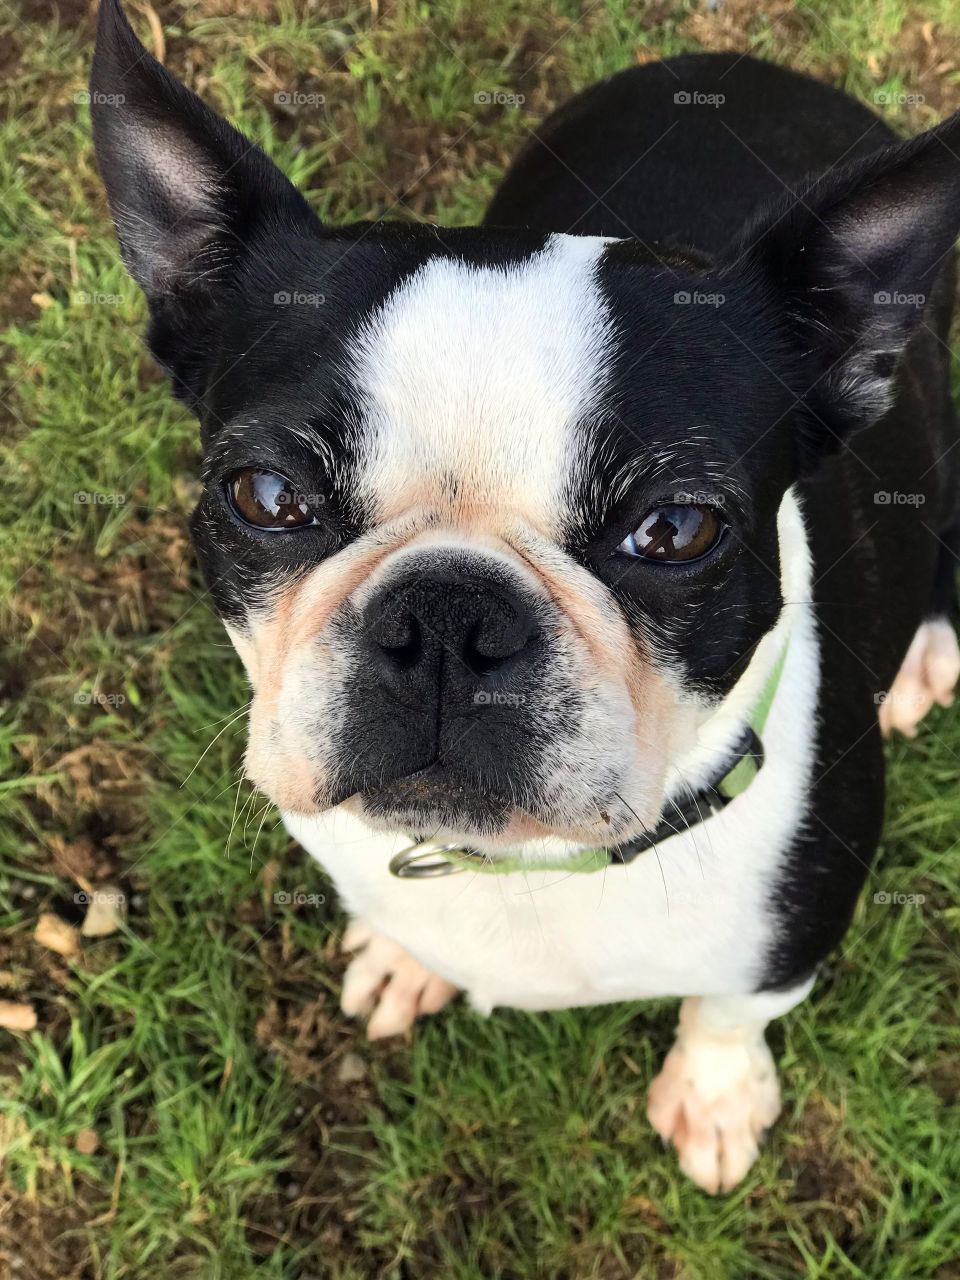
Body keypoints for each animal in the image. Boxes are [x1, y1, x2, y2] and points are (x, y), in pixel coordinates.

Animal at [92, 0, 960, 1192]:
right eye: (265, 496)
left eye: (676, 530)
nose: (446, 615)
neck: (531, 862)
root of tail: (742, 67)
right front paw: (405, 957)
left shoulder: (798, 926)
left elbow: (731, 1009)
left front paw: (715, 1093)